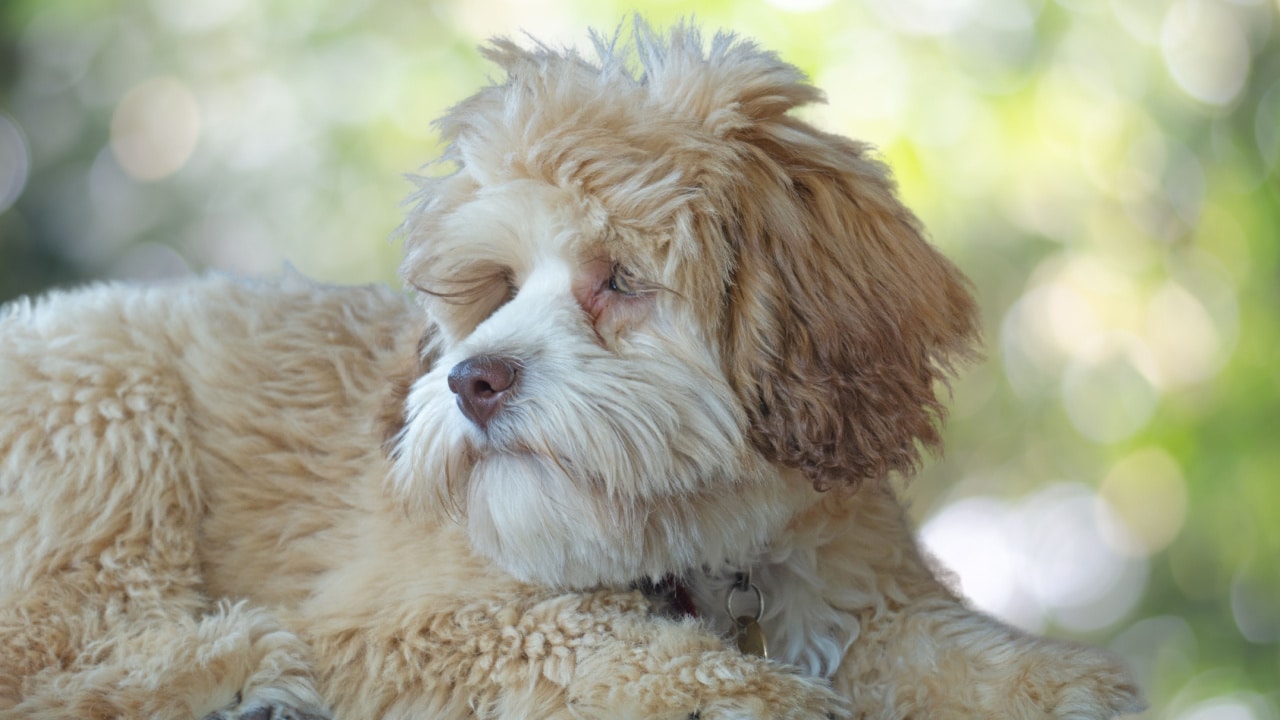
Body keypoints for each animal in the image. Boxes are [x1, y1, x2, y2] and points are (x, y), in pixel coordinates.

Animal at [0, 22, 1141, 717]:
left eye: (619, 278)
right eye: (497, 284)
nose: (471, 381)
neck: (696, 555)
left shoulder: (851, 587)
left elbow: (942, 652)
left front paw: (1058, 685)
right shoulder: (410, 620)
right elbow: (583, 639)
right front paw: (738, 693)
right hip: (105, 416)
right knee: (53, 652)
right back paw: (238, 669)